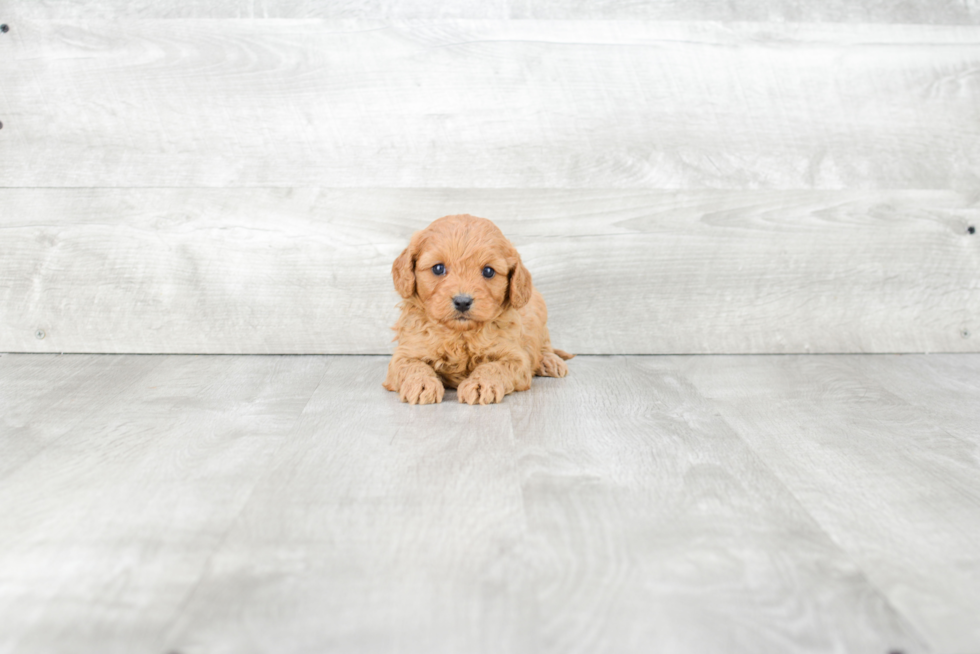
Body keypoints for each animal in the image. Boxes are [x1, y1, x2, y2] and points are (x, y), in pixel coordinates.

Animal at [380, 215, 572, 404]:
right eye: (438, 268)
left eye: (488, 271)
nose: (462, 302)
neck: (460, 334)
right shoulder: (406, 352)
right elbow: (412, 366)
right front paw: (421, 383)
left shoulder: (516, 358)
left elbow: (494, 367)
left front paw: (481, 384)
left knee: (544, 345)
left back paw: (549, 361)